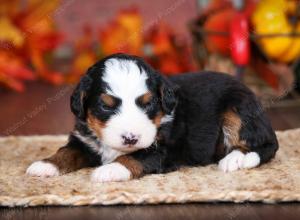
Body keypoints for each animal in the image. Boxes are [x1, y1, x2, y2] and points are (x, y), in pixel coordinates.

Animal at [26, 53, 278, 182]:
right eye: (105, 106)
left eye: (148, 104)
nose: (130, 138)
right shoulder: (83, 139)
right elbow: (67, 151)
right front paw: (45, 165)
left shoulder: (165, 150)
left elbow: (135, 157)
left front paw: (110, 170)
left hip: (237, 109)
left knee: (265, 146)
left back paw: (234, 159)